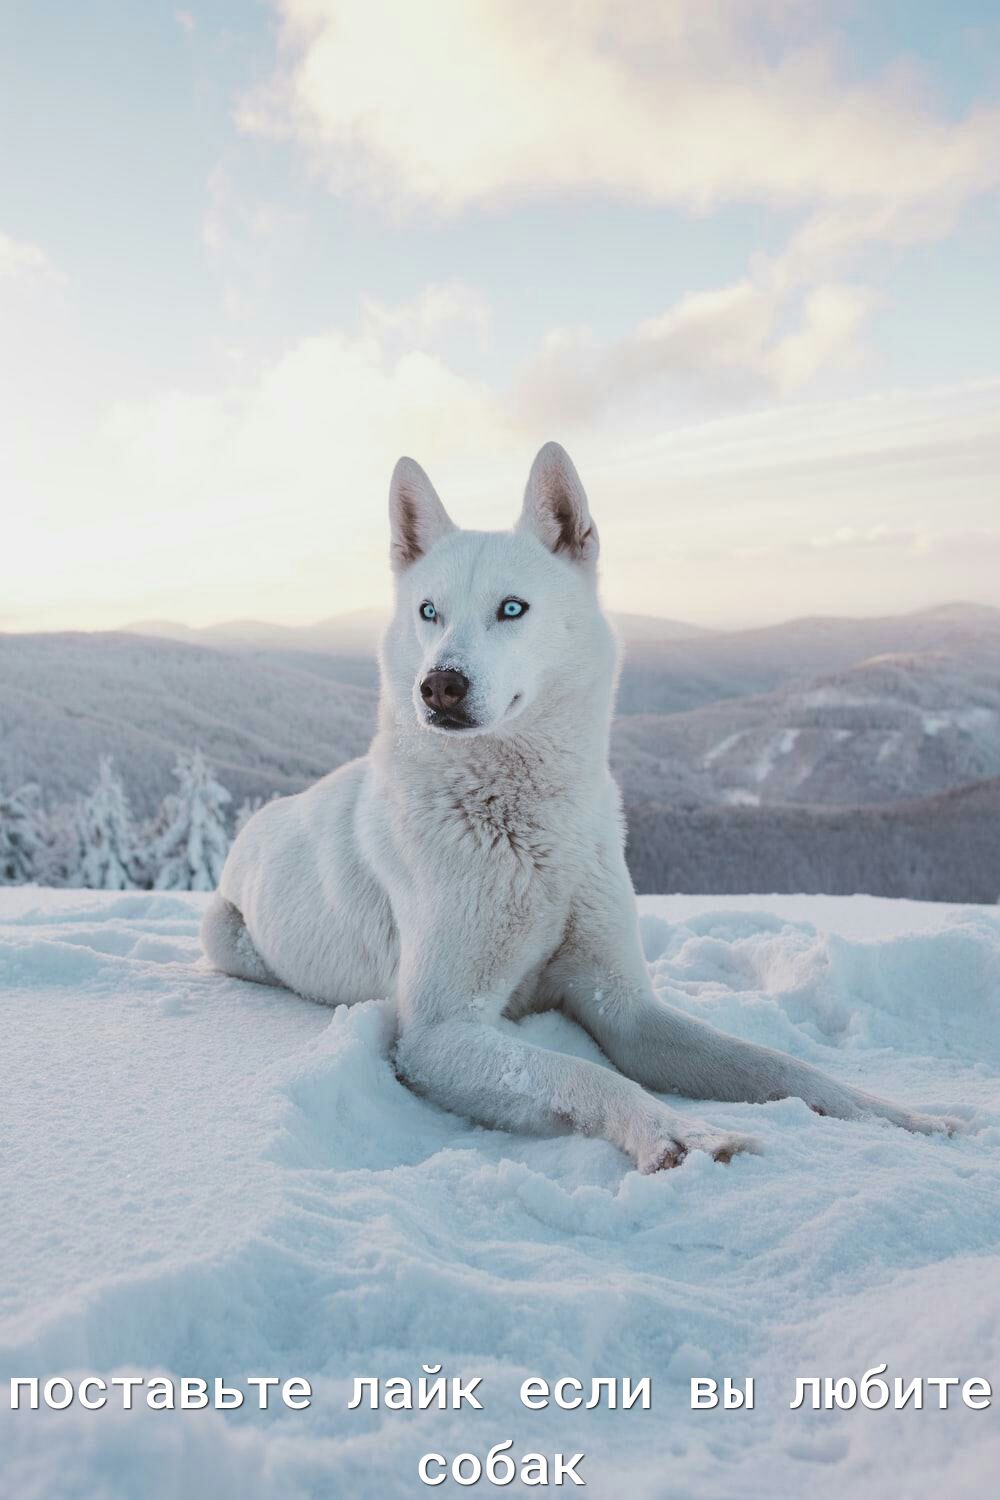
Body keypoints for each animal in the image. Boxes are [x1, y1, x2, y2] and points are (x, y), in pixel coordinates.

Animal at [200, 438, 953, 1164]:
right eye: (428, 612)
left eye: (512, 608)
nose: (439, 685)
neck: (528, 828)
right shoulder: (440, 1034)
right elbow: (587, 1074)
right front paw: (678, 1133)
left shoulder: (624, 1007)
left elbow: (776, 1066)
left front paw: (898, 1116)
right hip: (226, 935)